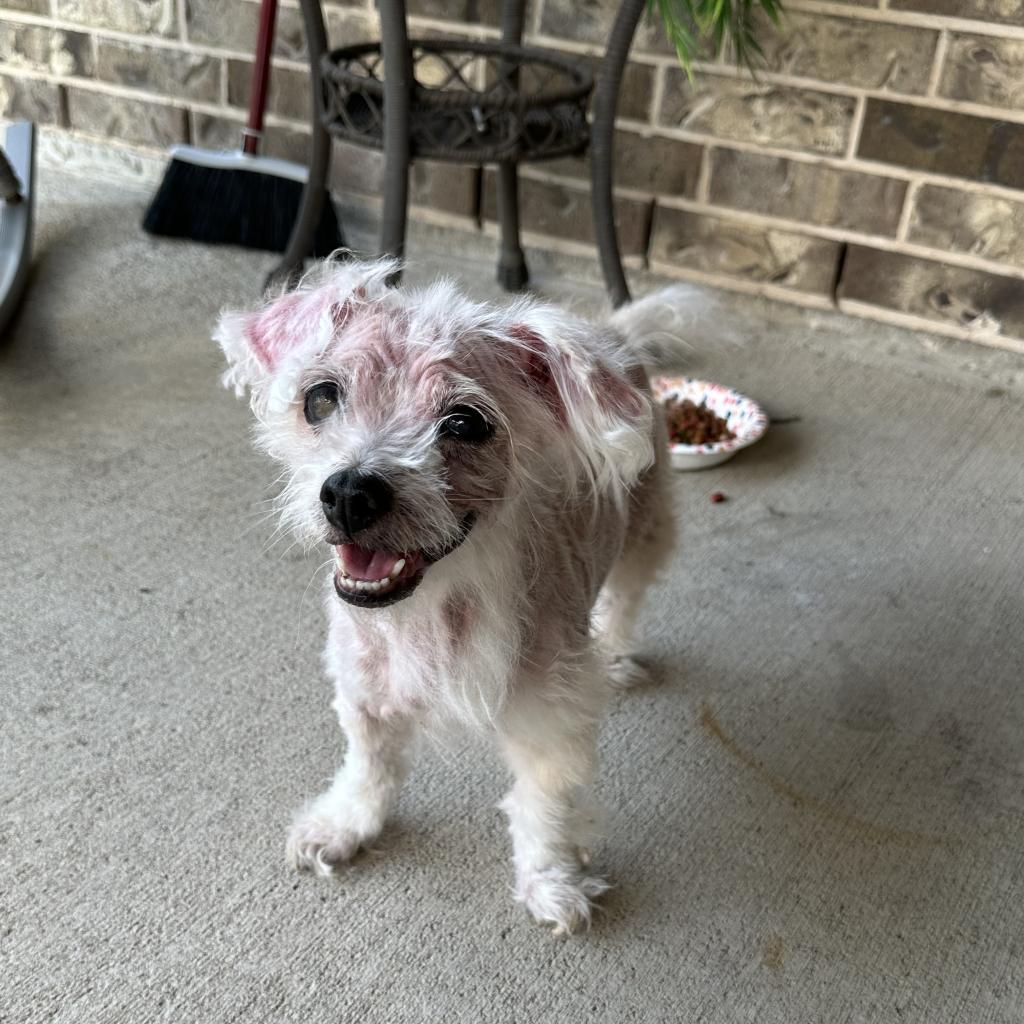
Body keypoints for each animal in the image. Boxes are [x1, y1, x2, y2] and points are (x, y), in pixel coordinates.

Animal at [214, 258, 679, 937]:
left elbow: (545, 810)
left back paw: (615, 652)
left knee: (625, 599)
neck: (435, 611)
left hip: (645, 530)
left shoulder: (551, 726)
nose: (350, 492)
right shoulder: (363, 694)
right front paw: (344, 825)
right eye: (320, 398)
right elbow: (369, 768)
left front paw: (551, 882)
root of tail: (612, 333)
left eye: (465, 422)